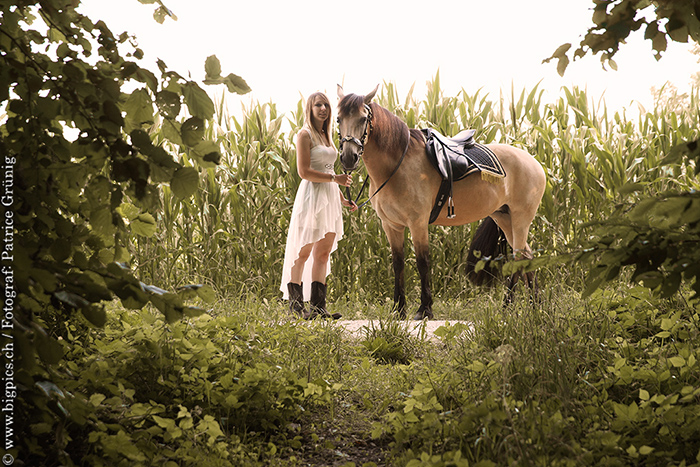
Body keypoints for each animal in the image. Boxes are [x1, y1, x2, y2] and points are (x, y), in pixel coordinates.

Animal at [334, 85, 548, 322]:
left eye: (363, 118)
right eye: (338, 119)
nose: (348, 158)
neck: (397, 165)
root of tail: (535, 162)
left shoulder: (417, 223)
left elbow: (422, 262)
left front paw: (424, 309)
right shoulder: (391, 225)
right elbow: (398, 263)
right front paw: (398, 310)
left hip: (521, 218)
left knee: (519, 257)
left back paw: (507, 307)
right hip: (504, 217)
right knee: (527, 255)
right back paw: (536, 306)